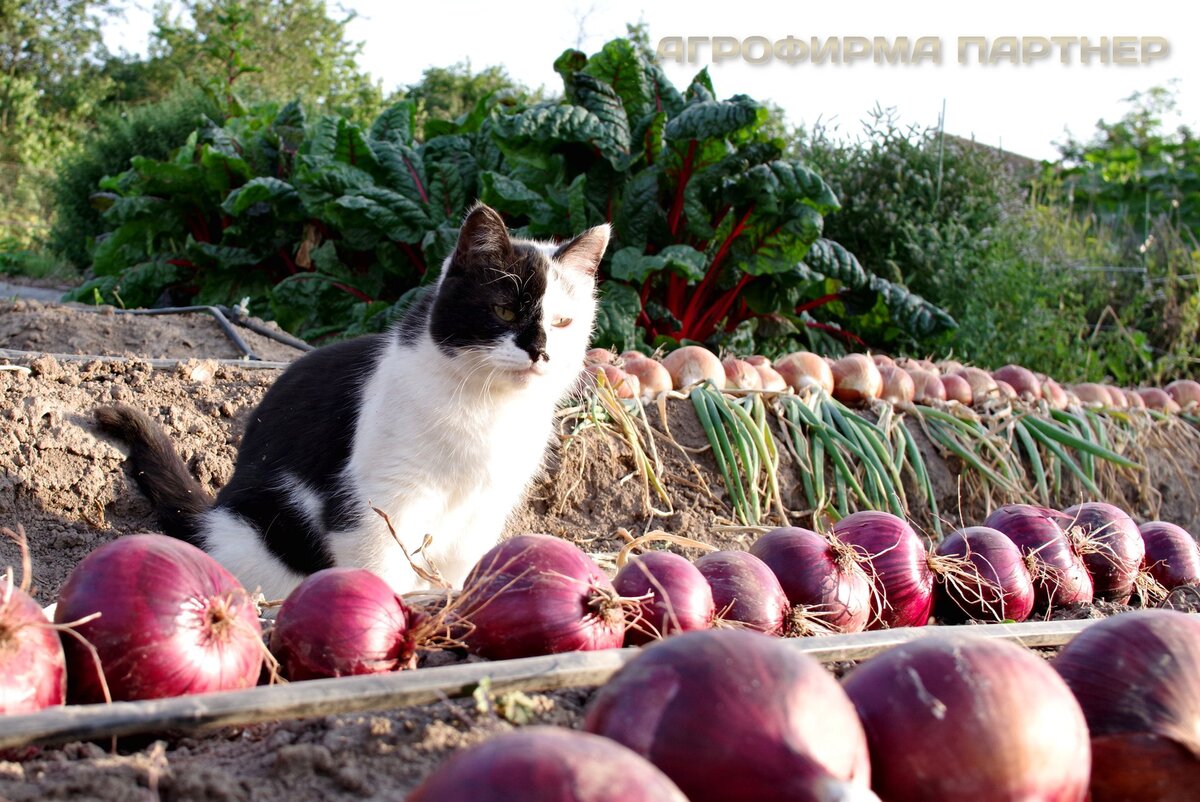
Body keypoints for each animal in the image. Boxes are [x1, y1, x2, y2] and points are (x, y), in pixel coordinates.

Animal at [98, 204, 609, 597]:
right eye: (503, 309)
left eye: (563, 322)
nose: (541, 350)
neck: (488, 408)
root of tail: (210, 516)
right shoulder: (379, 502)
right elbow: (378, 568)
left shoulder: (486, 506)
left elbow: (461, 566)